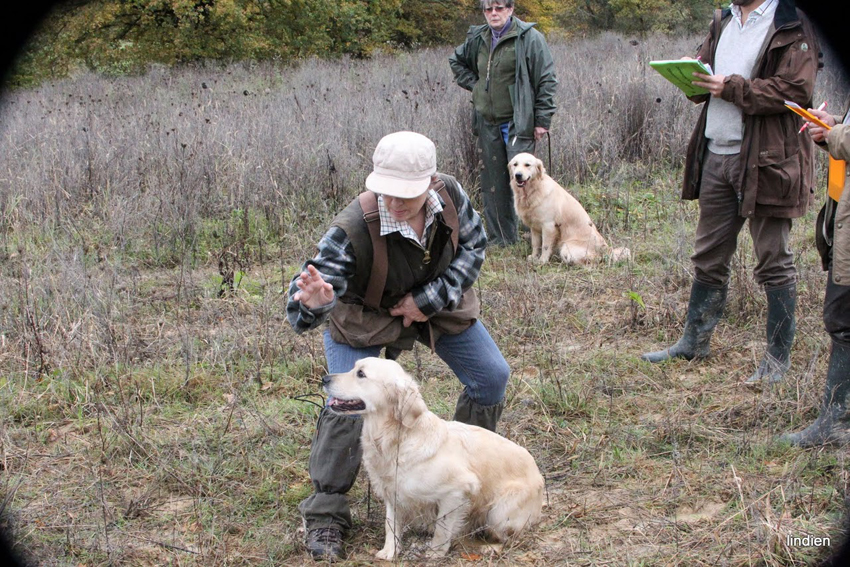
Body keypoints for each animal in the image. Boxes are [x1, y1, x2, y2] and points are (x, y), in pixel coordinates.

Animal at [322, 357, 544, 560]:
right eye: (353, 367)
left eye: (361, 374)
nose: (325, 379)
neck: (395, 439)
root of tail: (540, 477)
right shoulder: (393, 492)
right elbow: (390, 524)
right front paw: (390, 552)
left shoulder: (458, 490)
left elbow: (442, 527)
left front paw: (435, 552)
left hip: (499, 513)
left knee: (510, 537)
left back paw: (489, 547)